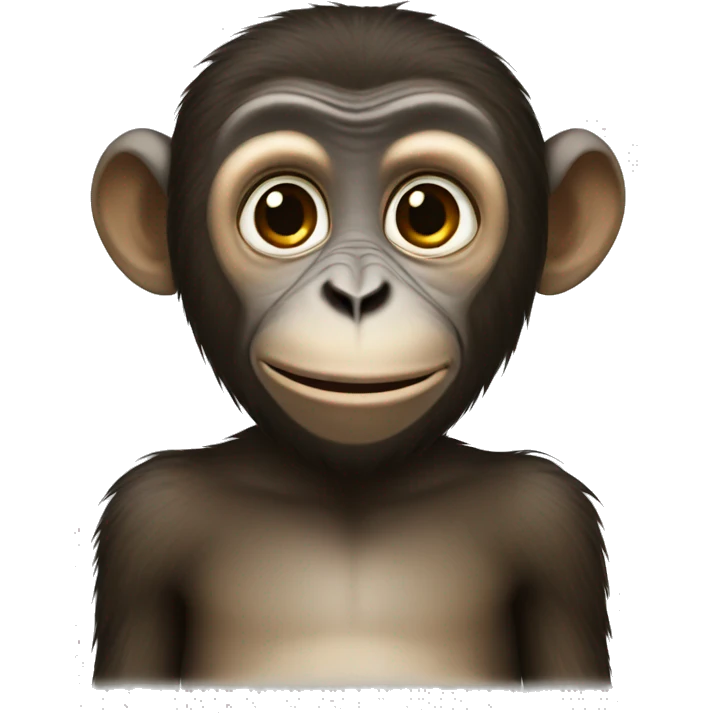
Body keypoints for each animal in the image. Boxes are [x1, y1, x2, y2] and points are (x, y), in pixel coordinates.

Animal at [90, 4, 624, 686]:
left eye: (428, 215)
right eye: (281, 213)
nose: (356, 294)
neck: (351, 491)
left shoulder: (551, 517)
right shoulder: (148, 516)